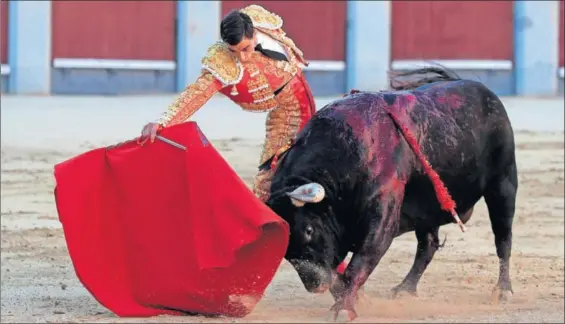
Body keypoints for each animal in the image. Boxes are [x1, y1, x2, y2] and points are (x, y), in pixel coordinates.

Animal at [264, 67, 516, 322]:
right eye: (286, 250)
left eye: (308, 230)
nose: (315, 284)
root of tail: (481, 90)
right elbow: (339, 274)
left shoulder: (382, 213)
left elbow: (361, 261)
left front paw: (344, 309)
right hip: (428, 209)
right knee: (428, 245)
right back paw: (405, 289)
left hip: (503, 184)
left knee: (503, 239)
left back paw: (503, 290)